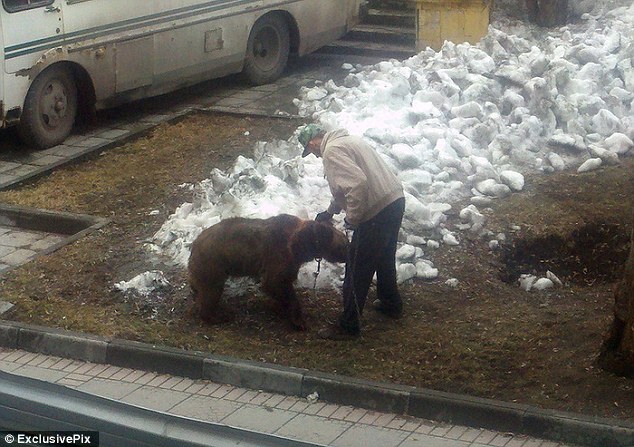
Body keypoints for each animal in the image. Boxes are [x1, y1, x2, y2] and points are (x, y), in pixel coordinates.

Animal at [188, 215, 348, 330]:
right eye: (344, 244)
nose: (348, 256)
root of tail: (195, 242)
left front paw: (281, 307)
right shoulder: (280, 255)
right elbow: (275, 283)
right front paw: (299, 320)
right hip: (213, 263)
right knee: (211, 291)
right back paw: (217, 316)